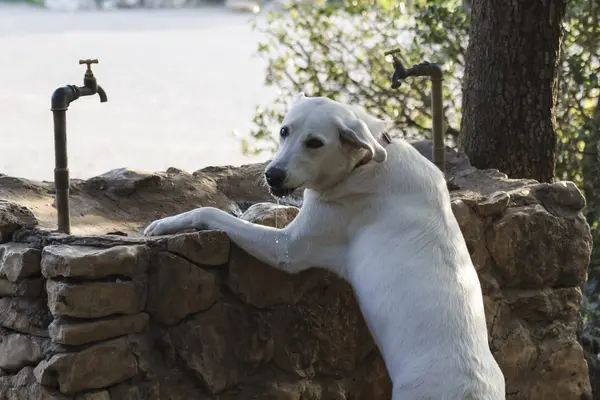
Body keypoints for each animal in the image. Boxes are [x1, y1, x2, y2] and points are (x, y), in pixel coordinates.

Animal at [144, 94, 506, 400]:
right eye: (284, 131)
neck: (366, 160)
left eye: (315, 143)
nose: (273, 175)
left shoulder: (288, 247)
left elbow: (211, 211)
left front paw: (165, 223)